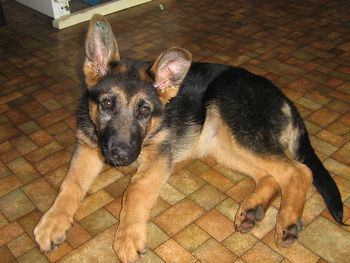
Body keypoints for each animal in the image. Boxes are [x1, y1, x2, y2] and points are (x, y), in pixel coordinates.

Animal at [33, 14, 344, 263]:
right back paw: (253, 209)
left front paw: (127, 236)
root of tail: (284, 98)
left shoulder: (158, 159)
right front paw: (53, 222)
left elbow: (134, 191)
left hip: (234, 120)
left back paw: (288, 221)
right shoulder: (88, 149)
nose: (120, 155)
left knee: (298, 171)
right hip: (222, 144)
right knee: (270, 175)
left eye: (144, 111)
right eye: (107, 104)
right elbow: (69, 184)